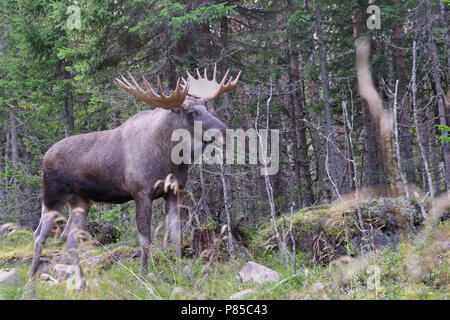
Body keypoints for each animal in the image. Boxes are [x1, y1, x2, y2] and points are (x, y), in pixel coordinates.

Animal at [29, 64, 241, 282]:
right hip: (52, 196)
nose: (224, 131)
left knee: (69, 236)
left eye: (206, 108)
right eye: (190, 112)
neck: (171, 158)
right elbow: (145, 240)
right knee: (39, 234)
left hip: (80, 202)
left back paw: (82, 281)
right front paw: (144, 275)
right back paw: (31, 282)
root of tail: (45, 157)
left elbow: (177, 236)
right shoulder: (142, 192)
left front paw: (180, 274)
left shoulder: (175, 191)